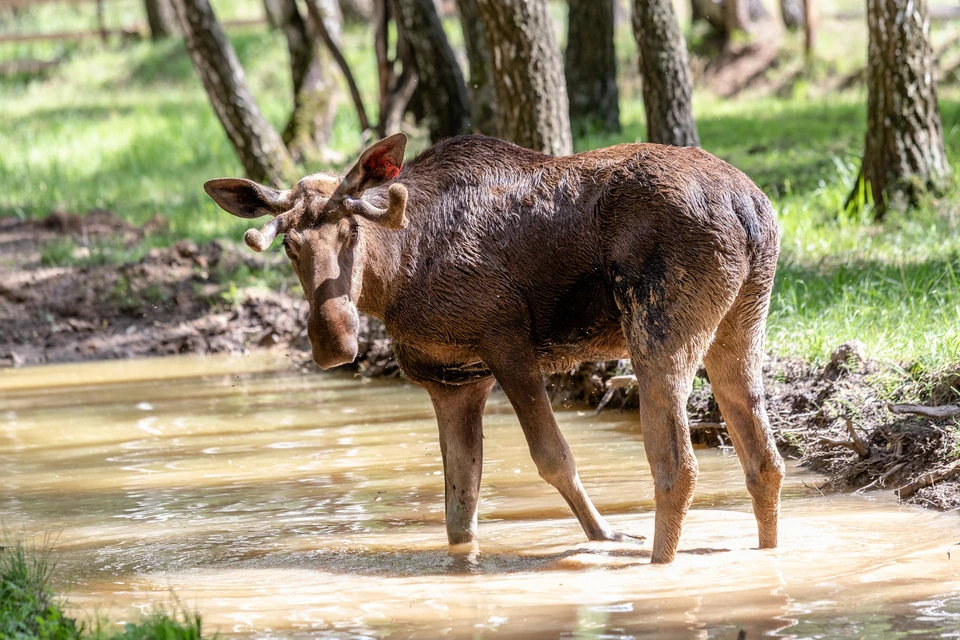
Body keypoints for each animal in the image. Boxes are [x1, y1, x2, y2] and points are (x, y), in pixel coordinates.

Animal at [206, 132, 784, 564]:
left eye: (351, 230)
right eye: (289, 245)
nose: (333, 341)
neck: (395, 277)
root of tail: (749, 210)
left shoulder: (507, 345)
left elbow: (553, 458)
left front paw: (607, 536)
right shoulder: (452, 381)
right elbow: (460, 508)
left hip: (657, 332)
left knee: (676, 466)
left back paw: (657, 564)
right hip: (742, 325)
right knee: (765, 462)